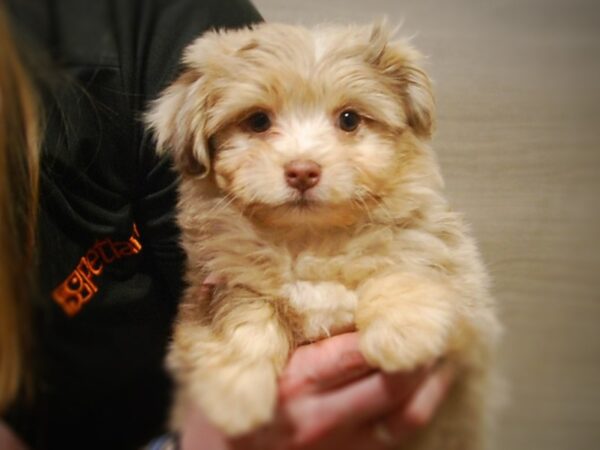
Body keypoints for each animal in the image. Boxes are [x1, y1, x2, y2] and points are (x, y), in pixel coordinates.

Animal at [146, 22, 502, 450]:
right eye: (258, 121)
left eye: (349, 119)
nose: (302, 171)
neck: (310, 239)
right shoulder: (220, 280)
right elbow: (239, 314)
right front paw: (235, 394)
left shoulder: (468, 308)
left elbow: (407, 260)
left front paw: (403, 333)